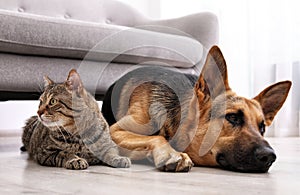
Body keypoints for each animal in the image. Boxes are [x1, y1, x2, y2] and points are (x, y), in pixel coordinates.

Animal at [101, 45, 290, 172]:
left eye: (262, 128)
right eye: (232, 117)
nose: (269, 156)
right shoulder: (115, 130)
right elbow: (157, 138)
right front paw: (172, 154)